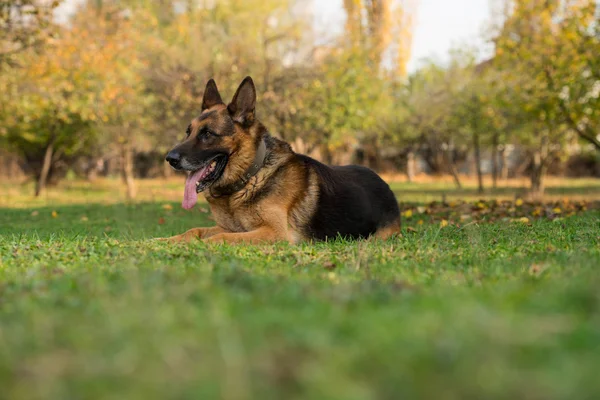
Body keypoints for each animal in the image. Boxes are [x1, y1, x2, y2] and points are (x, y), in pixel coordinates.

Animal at [162, 76, 400, 244]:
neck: (250, 177)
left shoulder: (274, 233)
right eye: (188, 132)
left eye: (207, 134)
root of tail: (383, 183)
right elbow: (193, 230)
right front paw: (163, 241)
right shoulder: (233, 228)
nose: (169, 159)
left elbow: (218, 238)